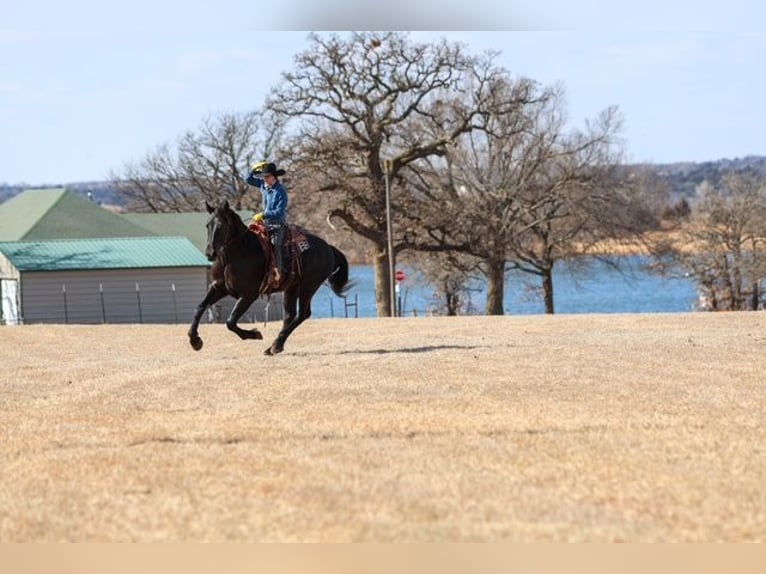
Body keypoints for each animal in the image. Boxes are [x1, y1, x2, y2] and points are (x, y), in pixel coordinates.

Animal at [187, 200, 352, 355]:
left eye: (221, 225)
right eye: (208, 225)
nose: (210, 253)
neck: (237, 255)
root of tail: (328, 247)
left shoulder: (249, 295)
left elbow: (231, 321)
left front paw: (254, 334)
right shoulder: (218, 288)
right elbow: (200, 307)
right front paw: (195, 340)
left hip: (309, 286)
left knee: (302, 314)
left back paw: (276, 345)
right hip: (292, 288)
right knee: (290, 315)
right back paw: (275, 346)